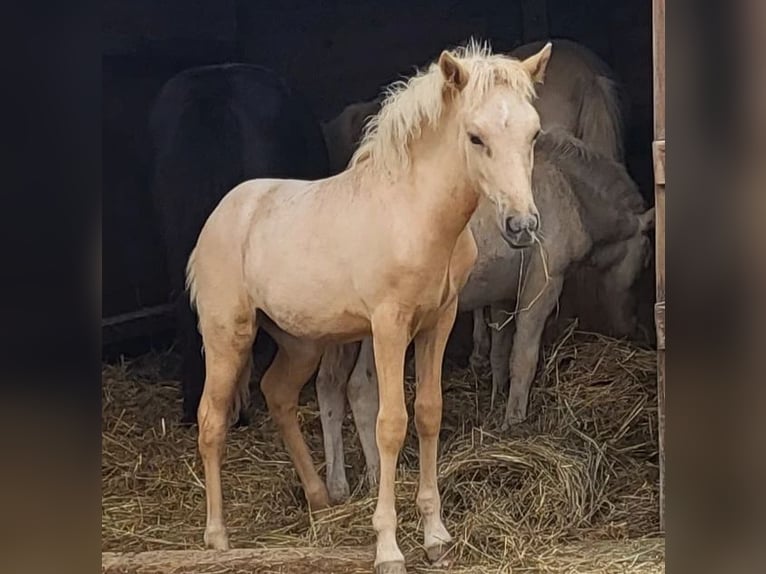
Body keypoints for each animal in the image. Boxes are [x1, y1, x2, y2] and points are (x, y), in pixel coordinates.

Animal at [189, 42, 556, 572]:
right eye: (475, 137)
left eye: (533, 133)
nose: (521, 225)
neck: (415, 214)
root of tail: (220, 215)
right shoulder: (388, 327)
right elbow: (390, 424)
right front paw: (388, 548)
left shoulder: (439, 322)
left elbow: (428, 413)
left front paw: (436, 537)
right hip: (227, 335)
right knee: (211, 420)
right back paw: (217, 537)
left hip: (299, 342)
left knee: (277, 393)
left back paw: (320, 500)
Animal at [316, 129, 656, 504]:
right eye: (645, 259)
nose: (634, 328)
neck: (569, 190)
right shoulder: (543, 286)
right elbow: (523, 357)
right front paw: (514, 422)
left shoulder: (502, 294)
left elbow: (499, 352)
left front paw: (496, 405)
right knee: (361, 388)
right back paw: (378, 474)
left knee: (329, 386)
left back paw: (337, 486)